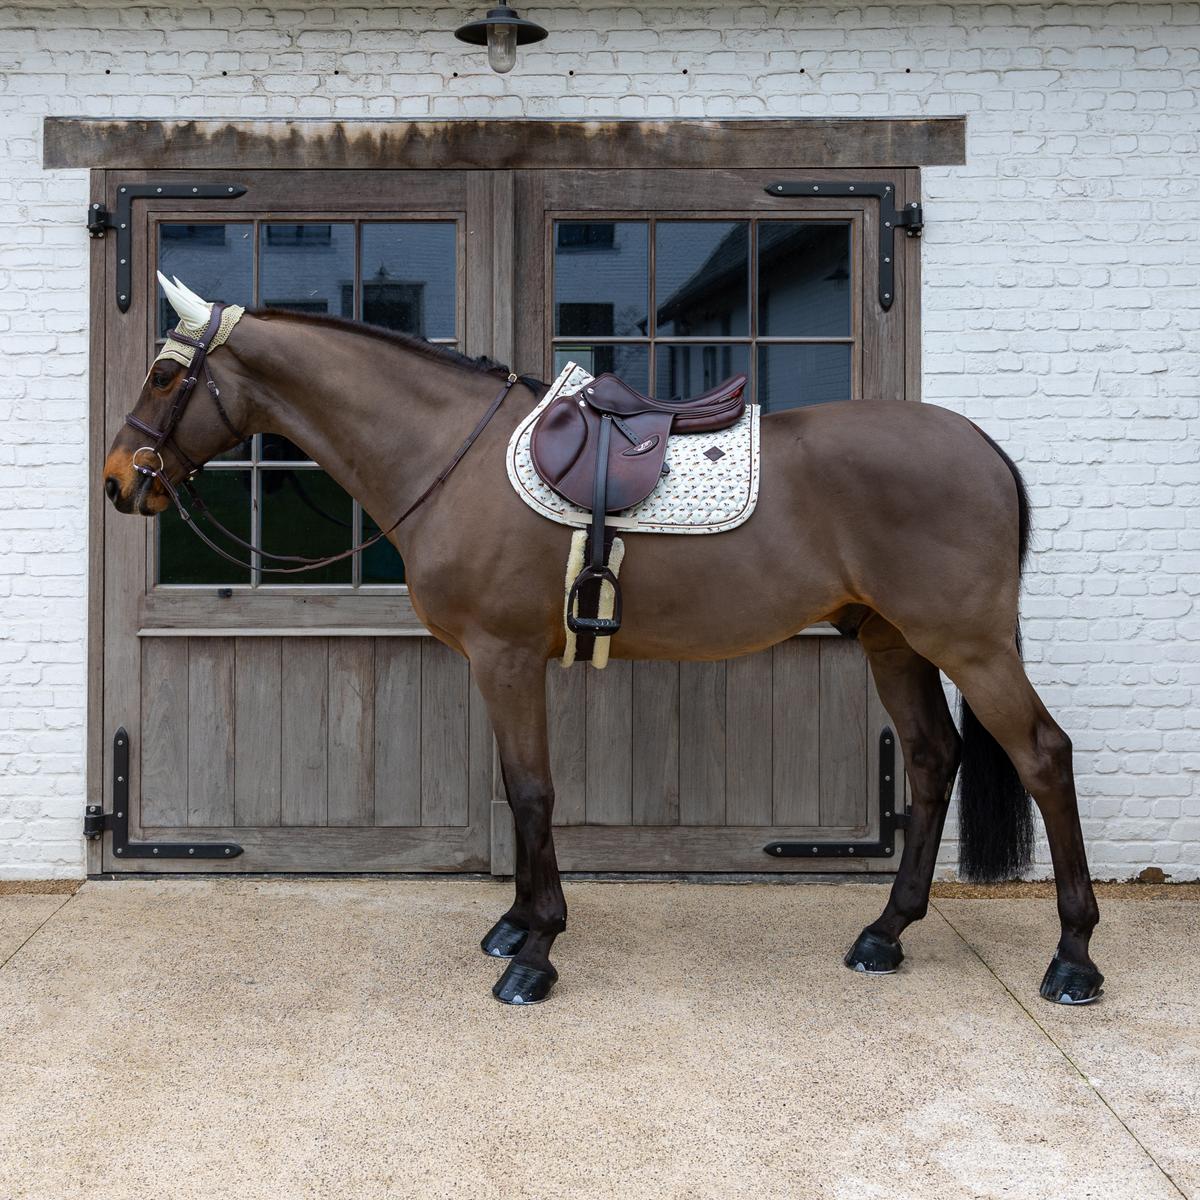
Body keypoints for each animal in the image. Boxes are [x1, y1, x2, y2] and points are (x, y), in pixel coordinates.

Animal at [102, 277, 1103, 1007]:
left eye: (164, 376)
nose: (118, 480)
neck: (453, 456)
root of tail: (981, 446)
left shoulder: (506, 658)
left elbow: (533, 793)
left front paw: (535, 951)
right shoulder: (498, 666)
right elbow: (517, 793)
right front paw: (514, 925)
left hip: (968, 643)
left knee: (1043, 756)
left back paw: (1073, 959)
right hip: (893, 641)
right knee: (934, 760)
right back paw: (884, 934)